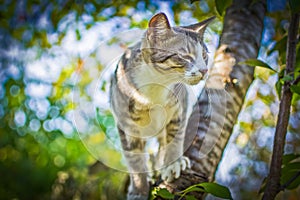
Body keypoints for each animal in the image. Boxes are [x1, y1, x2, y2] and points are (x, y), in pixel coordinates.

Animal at [109, 12, 213, 200]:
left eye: (204, 56)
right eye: (185, 56)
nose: (204, 70)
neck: (156, 87)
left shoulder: (180, 109)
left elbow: (174, 139)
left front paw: (173, 164)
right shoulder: (125, 125)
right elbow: (135, 160)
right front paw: (138, 190)